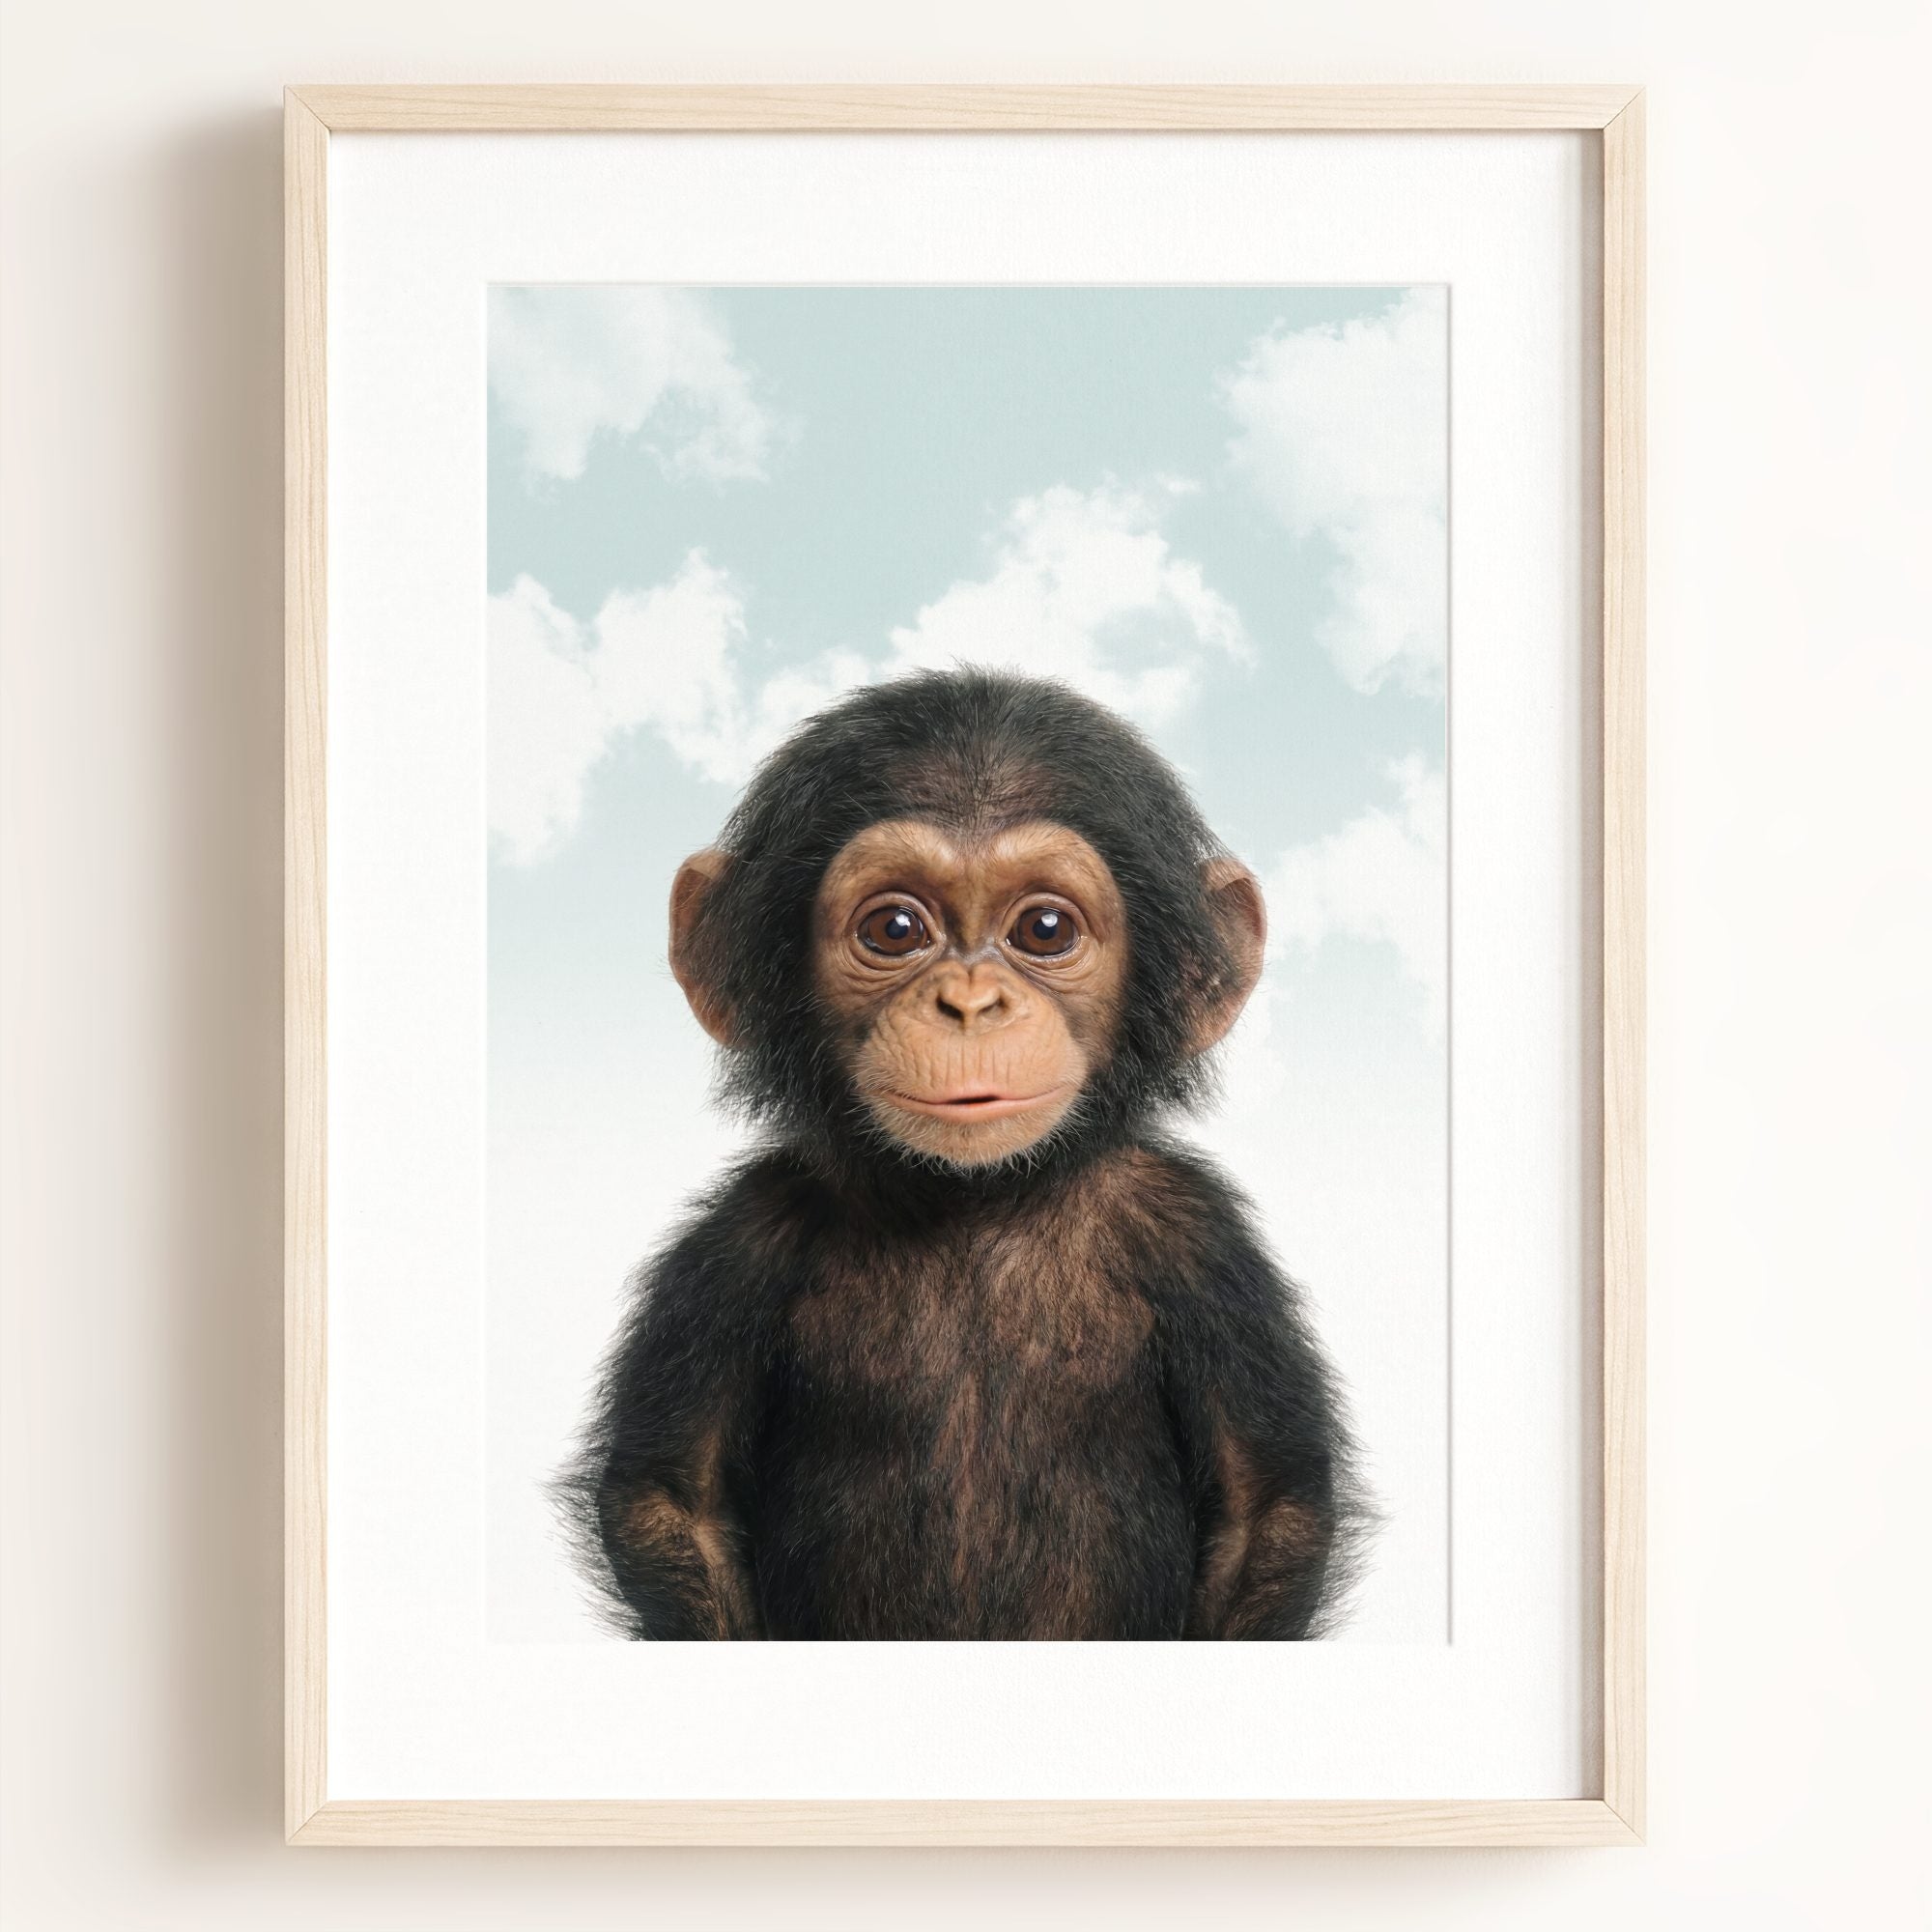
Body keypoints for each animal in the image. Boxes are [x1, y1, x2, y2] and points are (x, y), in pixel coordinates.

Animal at [563, 668, 1366, 1640]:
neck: (972, 1200)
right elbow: (672, 1500)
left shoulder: (1200, 1241)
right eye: (896, 929)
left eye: (1046, 929)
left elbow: (1266, 1509)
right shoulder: (738, 1244)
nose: (972, 1003)